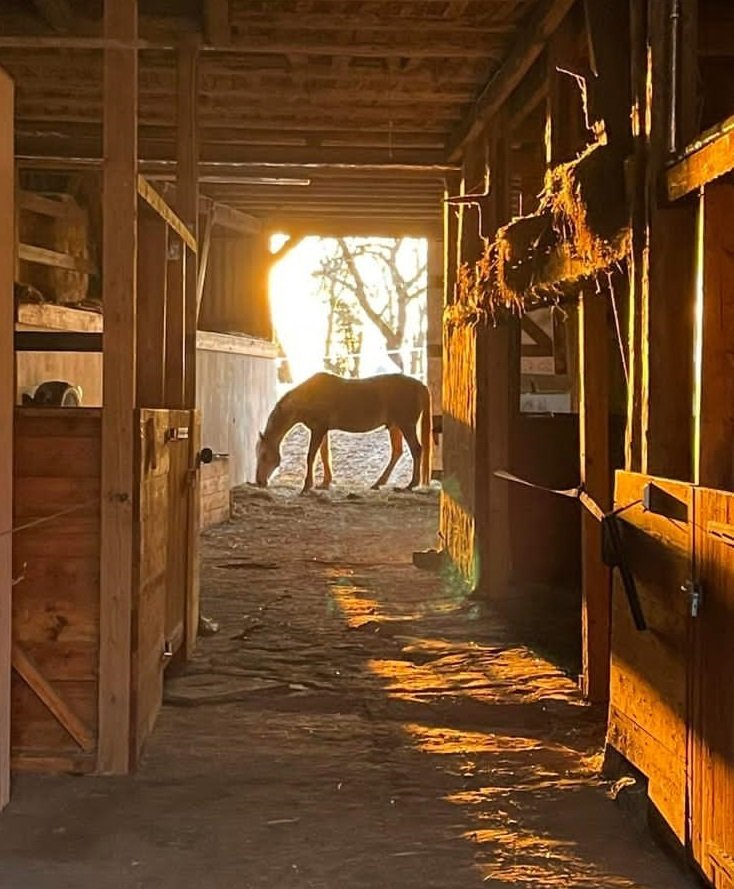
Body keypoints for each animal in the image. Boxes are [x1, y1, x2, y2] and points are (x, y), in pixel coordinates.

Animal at [255, 372, 432, 494]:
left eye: (264, 456)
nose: (259, 482)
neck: (309, 396)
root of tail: (421, 386)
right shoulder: (322, 430)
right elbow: (325, 455)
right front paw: (324, 483)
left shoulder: (318, 429)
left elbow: (311, 456)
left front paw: (307, 486)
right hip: (396, 427)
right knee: (397, 452)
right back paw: (378, 483)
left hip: (406, 425)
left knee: (416, 450)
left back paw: (410, 485)